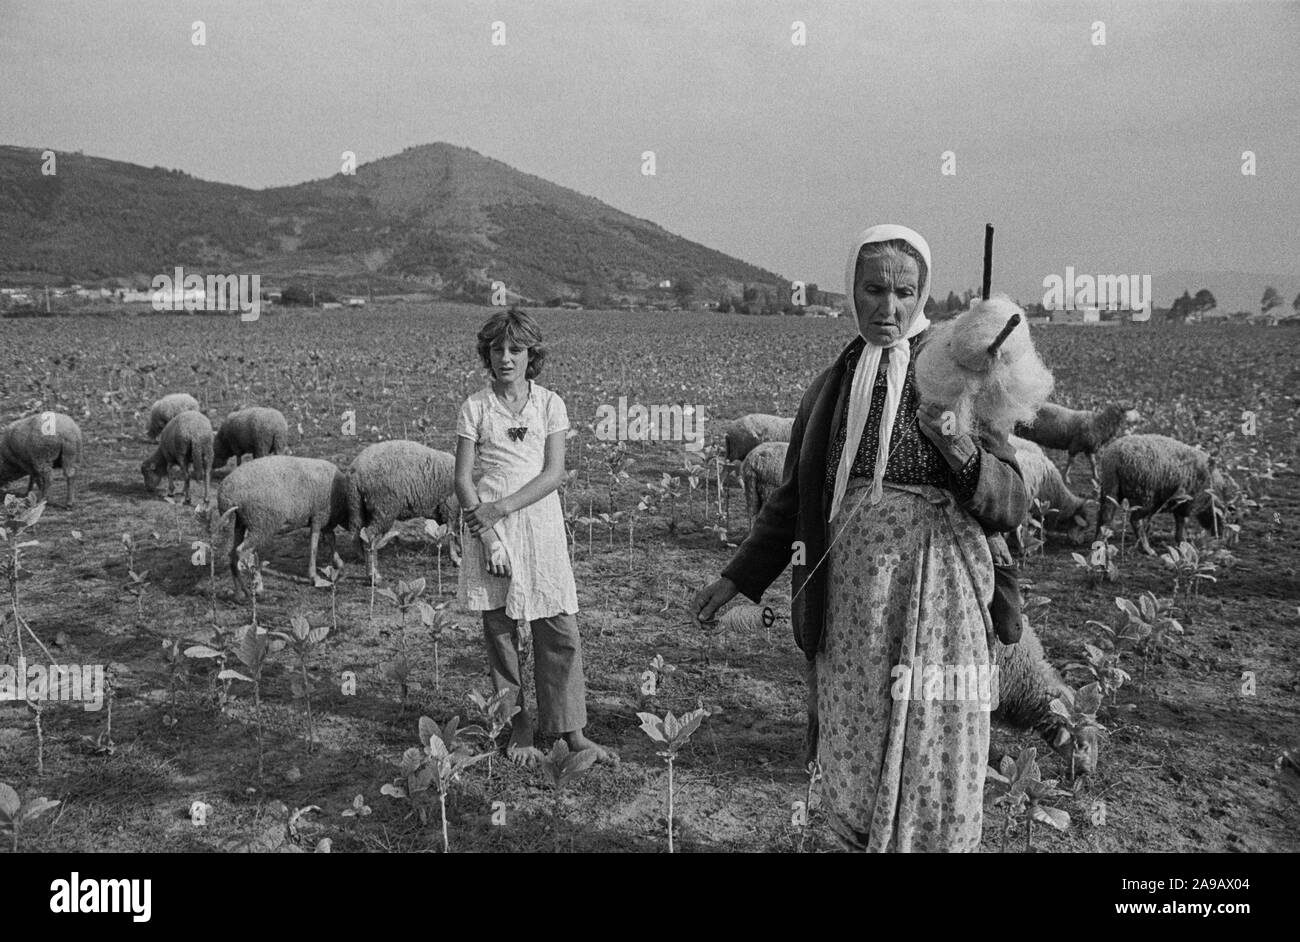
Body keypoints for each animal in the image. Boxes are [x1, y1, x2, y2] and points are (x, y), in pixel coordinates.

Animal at [218, 454, 351, 595]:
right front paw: (314, 577)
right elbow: (314, 547)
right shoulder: (318, 516)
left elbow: (332, 539)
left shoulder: (326, 522)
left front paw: (339, 565)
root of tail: (227, 495)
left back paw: (241, 593)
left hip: (240, 523)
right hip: (261, 524)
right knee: (242, 552)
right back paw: (257, 586)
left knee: (232, 555)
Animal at [345, 441, 462, 579]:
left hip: (358, 507)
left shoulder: (442, 510)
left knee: (358, 535)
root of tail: (355, 472)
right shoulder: (449, 506)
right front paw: (455, 558)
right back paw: (373, 574)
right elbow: (451, 533)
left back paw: (365, 560)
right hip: (384, 508)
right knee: (369, 536)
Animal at [1097, 431, 1237, 556]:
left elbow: (1180, 525)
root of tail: (1113, 457)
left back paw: (1099, 543)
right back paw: (1147, 549)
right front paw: (1186, 546)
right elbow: (1182, 524)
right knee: (1135, 520)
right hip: (1143, 496)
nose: (1221, 540)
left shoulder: (1181, 504)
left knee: (1104, 516)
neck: (1211, 497)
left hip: (1109, 489)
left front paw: (1183, 545)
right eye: (1225, 518)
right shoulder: (1189, 504)